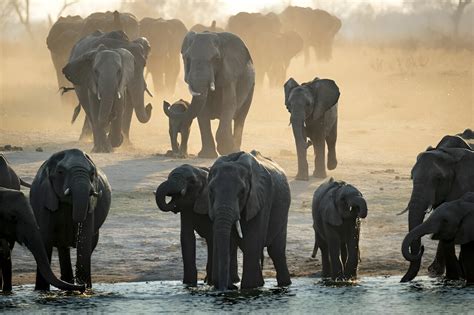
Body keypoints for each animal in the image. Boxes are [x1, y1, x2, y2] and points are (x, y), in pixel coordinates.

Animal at [29, 149, 111, 290]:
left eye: (92, 173)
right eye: (60, 172)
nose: (82, 286)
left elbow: (85, 240)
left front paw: (85, 288)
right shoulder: (44, 199)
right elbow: (45, 239)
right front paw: (41, 291)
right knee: (62, 248)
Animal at [208, 151, 290, 292]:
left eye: (242, 192)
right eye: (211, 190)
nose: (223, 289)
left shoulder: (261, 197)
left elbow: (252, 240)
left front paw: (250, 288)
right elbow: (227, 241)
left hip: (283, 212)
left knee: (276, 251)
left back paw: (284, 285)